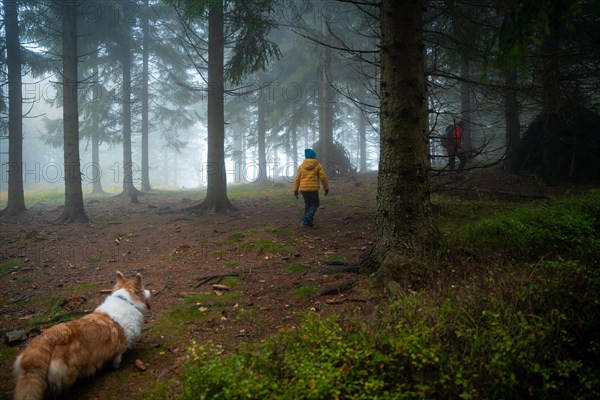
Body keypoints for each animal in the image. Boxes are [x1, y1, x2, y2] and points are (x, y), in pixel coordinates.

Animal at [13, 272, 151, 400]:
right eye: (143, 288)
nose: (150, 291)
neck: (126, 300)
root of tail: (44, 342)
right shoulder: (120, 346)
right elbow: (117, 358)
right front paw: (116, 366)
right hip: (67, 372)